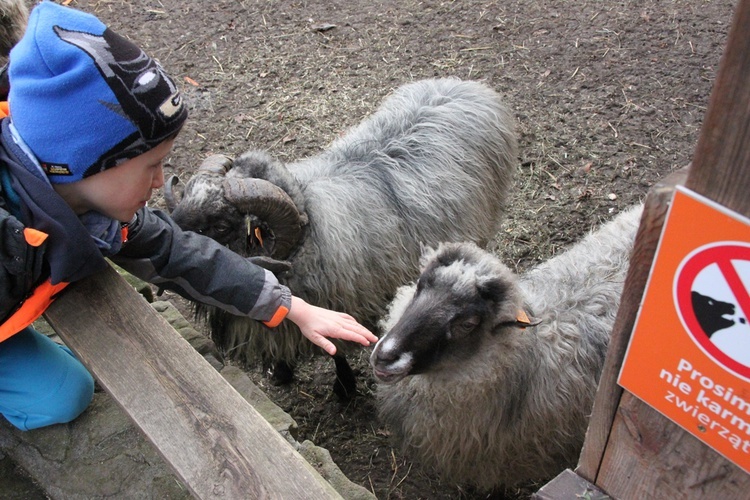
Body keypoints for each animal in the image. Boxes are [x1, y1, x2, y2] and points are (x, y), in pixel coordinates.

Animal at [167, 77, 520, 398]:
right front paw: (282, 372)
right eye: (186, 197)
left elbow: (335, 349)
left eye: (221, 225)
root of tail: (463, 84)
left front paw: (345, 388)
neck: (308, 236)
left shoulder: (341, 301)